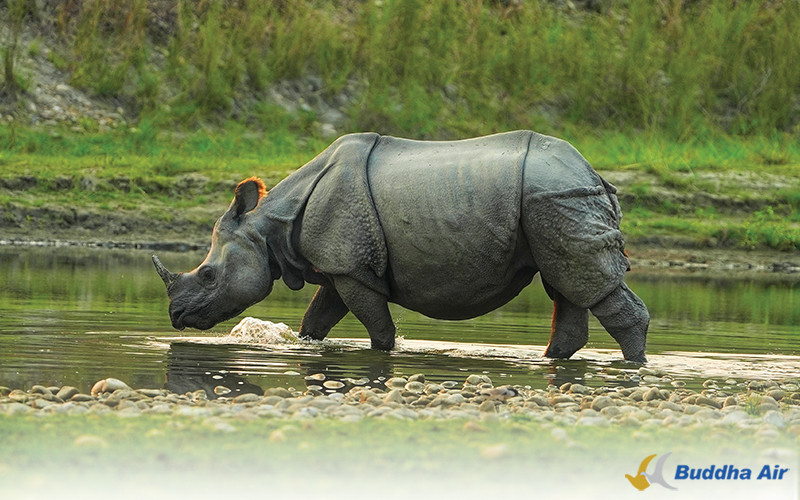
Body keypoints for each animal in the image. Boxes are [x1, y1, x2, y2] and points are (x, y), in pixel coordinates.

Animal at [153, 131, 649, 362]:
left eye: (208, 275)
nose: (177, 316)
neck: (271, 224)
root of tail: (592, 172)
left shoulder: (351, 269)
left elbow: (378, 327)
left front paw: (383, 354)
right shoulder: (341, 265)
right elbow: (316, 321)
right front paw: (307, 345)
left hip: (555, 194)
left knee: (583, 281)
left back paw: (636, 366)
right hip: (556, 200)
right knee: (567, 282)